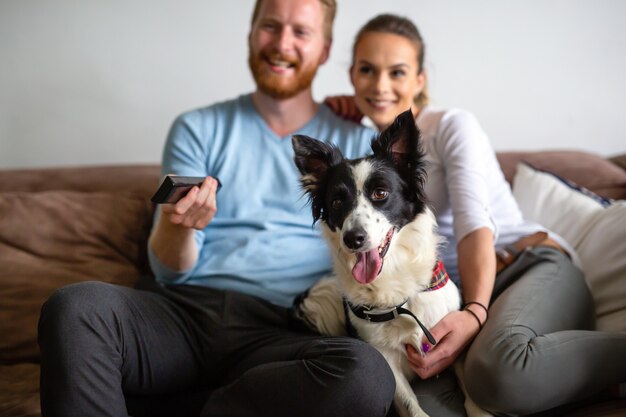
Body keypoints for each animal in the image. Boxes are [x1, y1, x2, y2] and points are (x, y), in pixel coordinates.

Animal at [292, 109, 488, 416]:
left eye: (380, 194)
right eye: (336, 202)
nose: (353, 239)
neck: (396, 295)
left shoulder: (453, 341)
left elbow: (469, 384)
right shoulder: (385, 358)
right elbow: (411, 406)